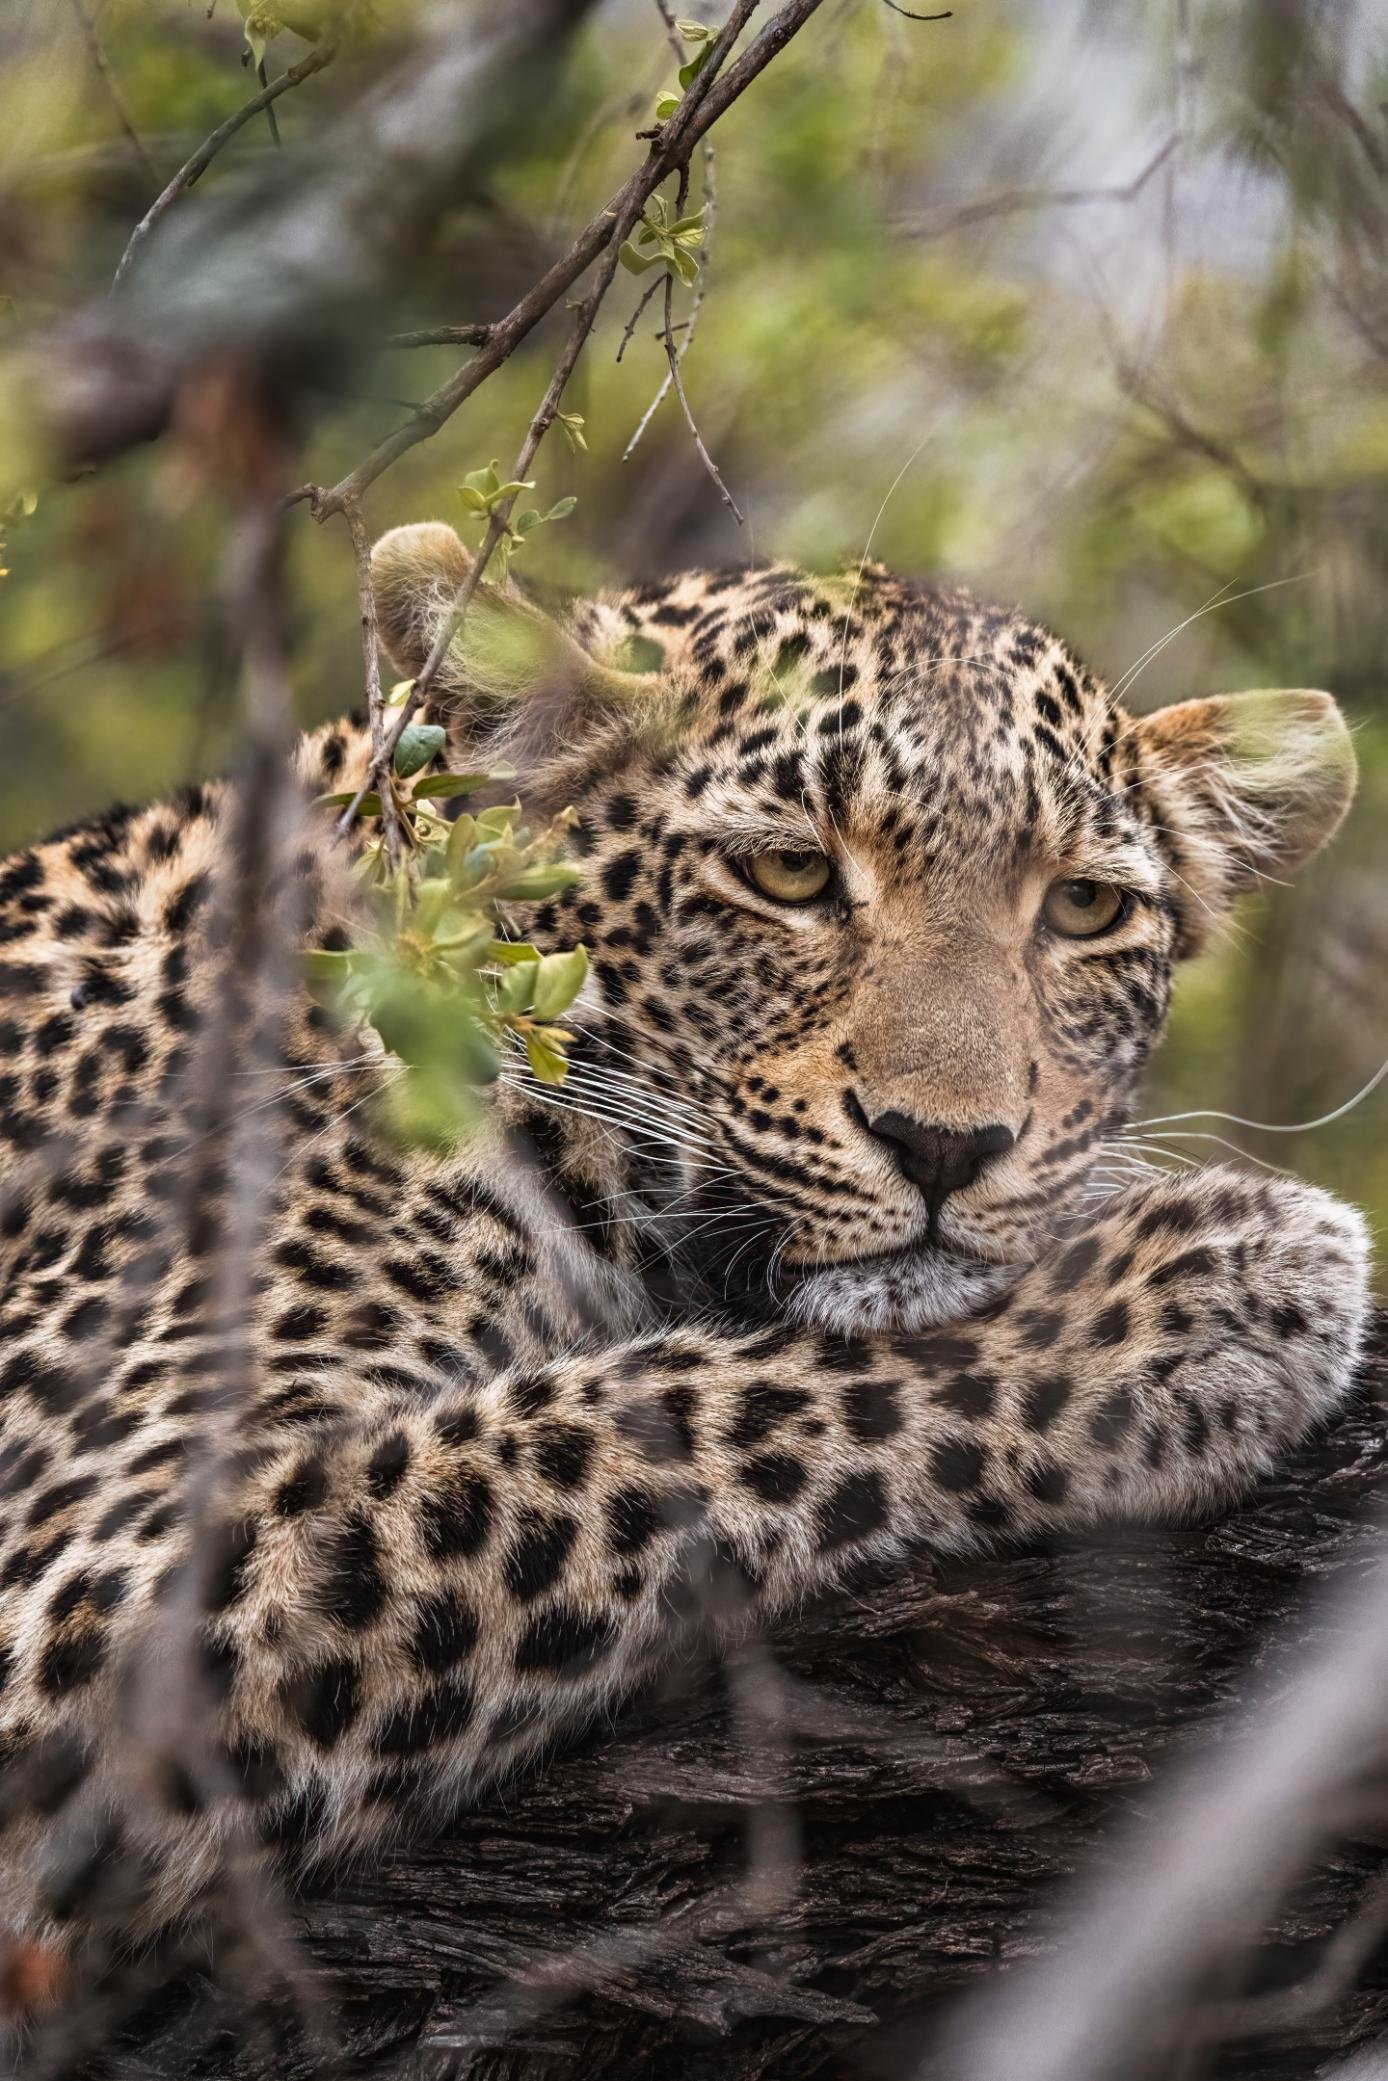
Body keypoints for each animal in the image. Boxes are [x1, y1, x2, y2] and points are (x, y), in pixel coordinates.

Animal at [0, 519, 1369, 2011]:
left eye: (1082, 908)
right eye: (789, 875)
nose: (946, 1146)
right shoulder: (85, 1583)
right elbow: (651, 1411)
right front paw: (1207, 1287)